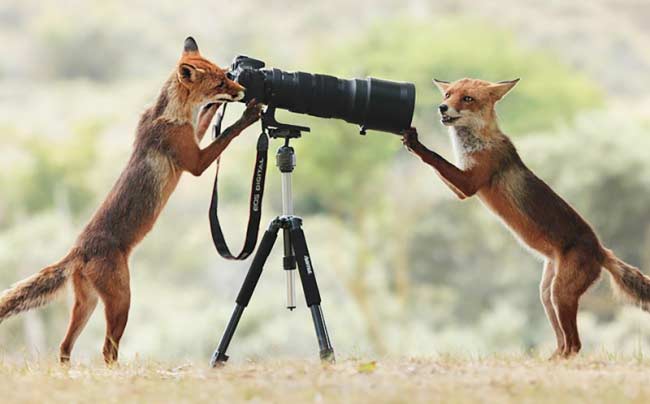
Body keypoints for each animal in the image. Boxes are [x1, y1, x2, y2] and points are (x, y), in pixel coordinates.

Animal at [0, 37, 263, 364]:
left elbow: (204, 121)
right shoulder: (195, 163)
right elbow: (226, 135)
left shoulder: (192, 138)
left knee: (64, 346)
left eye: (226, 75)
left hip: (87, 304)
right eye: (220, 82)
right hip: (121, 301)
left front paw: (216, 108)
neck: (172, 114)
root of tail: (77, 250)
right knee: (106, 350)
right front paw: (248, 116)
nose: (242, 91)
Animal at [402, 77, 650, 358]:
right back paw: (549, 361)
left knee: (575, 344)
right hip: (547, 294)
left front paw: (416, 142)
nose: (442, 107)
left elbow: (435, 158)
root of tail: (601, 249)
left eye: (467, 98)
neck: (477, 142)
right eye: (448, 94)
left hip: (561, 293)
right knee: (563, 342)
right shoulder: (462, 188)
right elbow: (438, 165)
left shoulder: (470, 184)